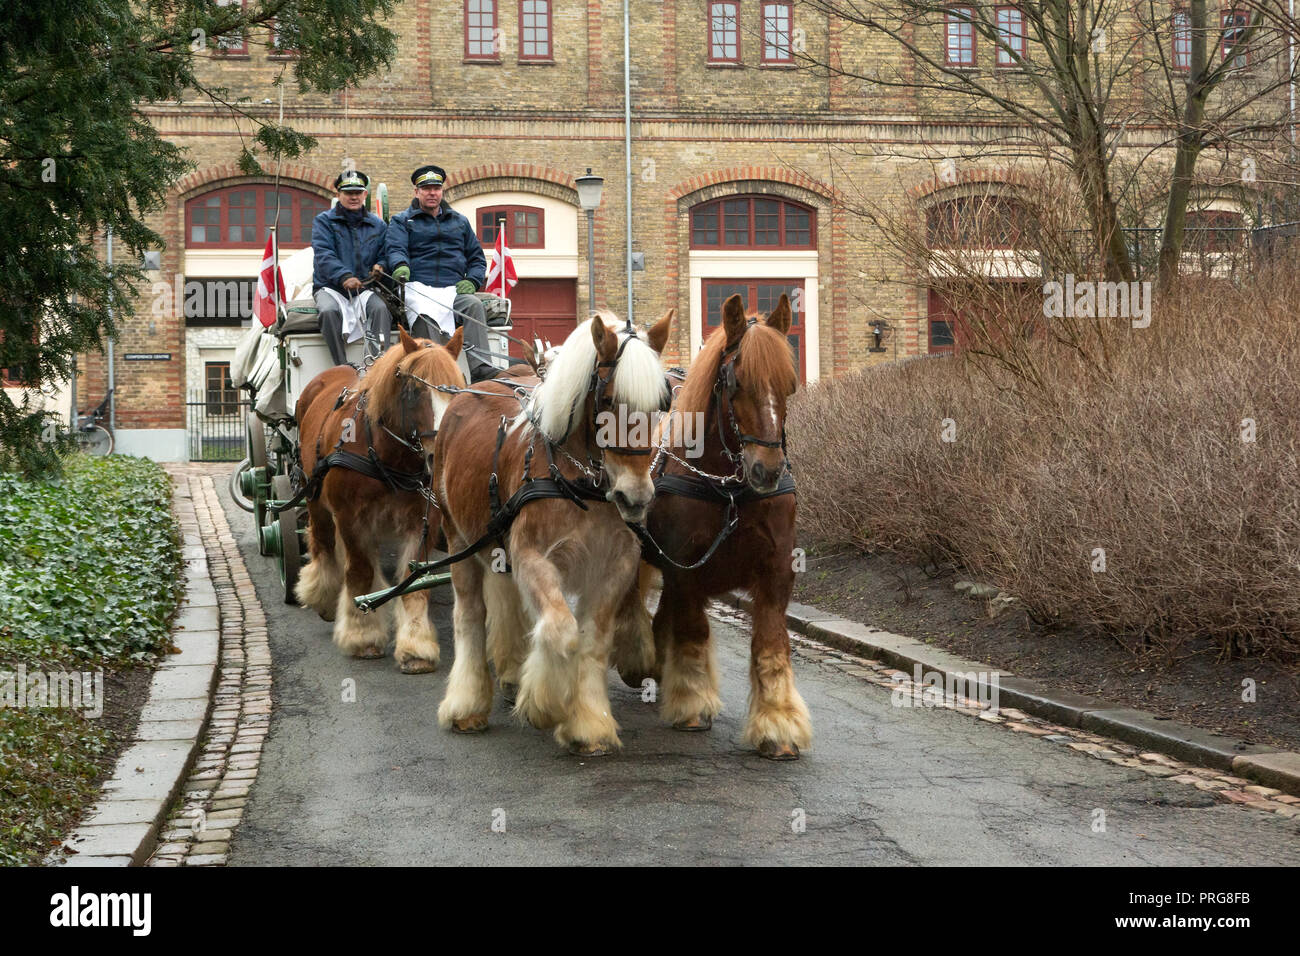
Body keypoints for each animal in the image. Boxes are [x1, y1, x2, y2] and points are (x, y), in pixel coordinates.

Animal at [295, 325, 467, 671]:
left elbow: (413, 581)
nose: (439, 457)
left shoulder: (422, 521)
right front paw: (362, 636)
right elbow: (359, 572)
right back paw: (323, 596)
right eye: (413, 390)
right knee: (322, 543)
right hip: (315, 496)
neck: (387, 456)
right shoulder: (350, 518)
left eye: (457, 390)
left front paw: (415, 645)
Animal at [434, 312, 676, 754]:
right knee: (470, 616)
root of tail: (468, 391)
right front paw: (545, 703)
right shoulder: (533, 557)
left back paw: (512, 673)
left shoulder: (615, 566)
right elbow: (563, 632)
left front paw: (589, 724)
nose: (635, 497)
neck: (582, 482)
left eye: (662, 405)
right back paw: (467, 704)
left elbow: (593, 641)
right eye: (608, 401)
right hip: (458, 538)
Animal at [611, 295, 811, 759]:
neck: (730, 492)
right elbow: (693, 630)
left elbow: (771, 644)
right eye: (736, 382)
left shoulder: (776, 571)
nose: (767, 470)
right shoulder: (687, 570)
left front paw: (778, 724)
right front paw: (691, 703)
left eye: (788, 384)